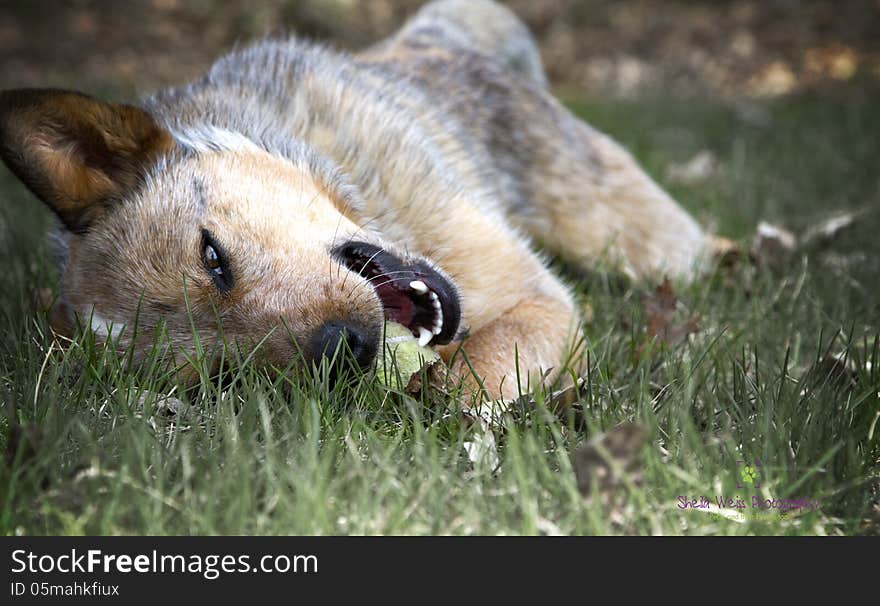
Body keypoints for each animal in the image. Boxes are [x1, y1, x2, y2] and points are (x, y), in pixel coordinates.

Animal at [0, 1, 708, 404]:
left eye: (212, 257)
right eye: (225, 375)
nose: (344, 349)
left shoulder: (537, 298)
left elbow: (482, 365)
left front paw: (446, 412)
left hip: (643, 241)